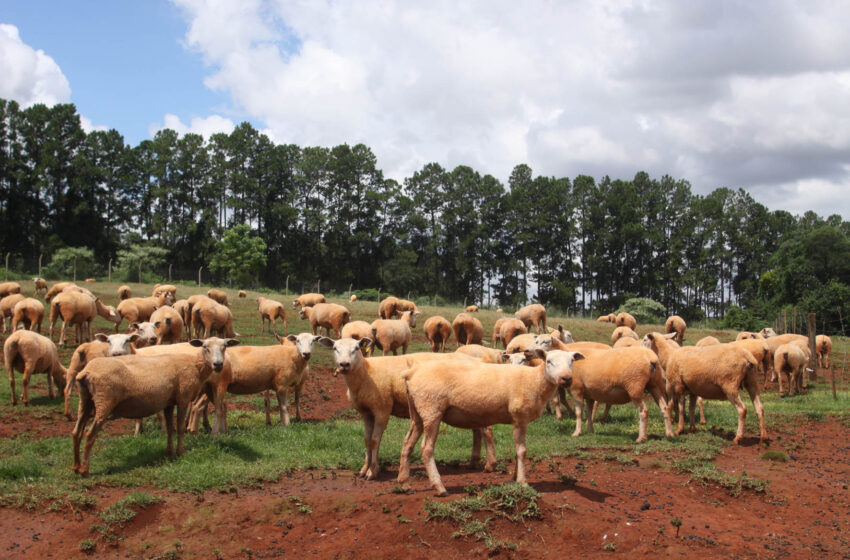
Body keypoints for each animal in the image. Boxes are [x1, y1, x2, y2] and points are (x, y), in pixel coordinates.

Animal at [71, 334, 238, 474]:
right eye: (205, 347)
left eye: (224, 347)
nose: (218, 364)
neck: (195, 364)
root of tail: (86, 372)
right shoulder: (183, 398)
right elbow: (180, 428)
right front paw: (180, 452)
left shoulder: (169, 402)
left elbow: (170, 428)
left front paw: (170, 452)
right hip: (104, 401)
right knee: (89, 434)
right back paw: (84, 470)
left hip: (85, 401)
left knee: (76, 432)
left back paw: (75, 466)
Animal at [316, 336, 490, 482]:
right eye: (335, 348)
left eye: (356, 348)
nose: (344, 364)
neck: (366, 373)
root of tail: (477, 359)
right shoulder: (366, 413)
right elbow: (366, 440)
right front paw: (363, 469)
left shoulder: (382, 410)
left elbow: (375, 440)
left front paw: (372, 472)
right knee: (477, 430)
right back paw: (474, 462)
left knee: (486, 430)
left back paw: (489, 465)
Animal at [398, 350, 584, 494]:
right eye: (549, 361)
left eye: (572, 361)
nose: (566, 379)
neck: (535, 381)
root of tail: (411, 373)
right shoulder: (520, 417)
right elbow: (522, 451)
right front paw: (522, 482)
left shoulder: (517, 420)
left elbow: (517, 450)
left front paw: (515, 476)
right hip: (432, 409)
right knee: (426, 449)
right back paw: (439, 487)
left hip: (417, 413)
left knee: (407, 443)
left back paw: (404, 483)